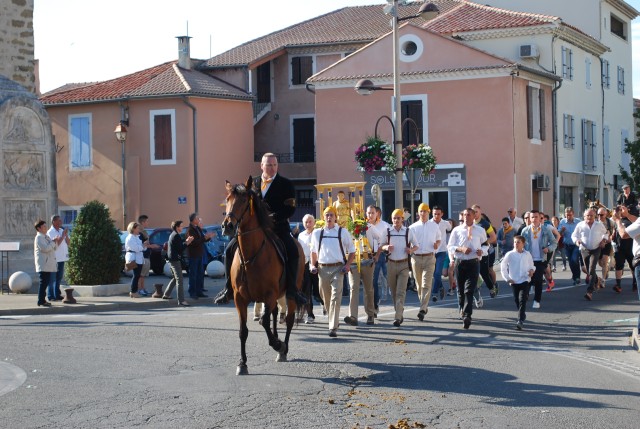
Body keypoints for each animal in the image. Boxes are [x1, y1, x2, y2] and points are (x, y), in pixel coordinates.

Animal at [221, 176, 304, 372]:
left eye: (244, 200)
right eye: (227, 199)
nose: (228, 226)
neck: (252, 255)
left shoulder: (270, 294)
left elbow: (265, 322)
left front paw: (277, 344)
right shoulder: (240, 299)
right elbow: (243, 331)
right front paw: (242, 363)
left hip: (290, 293)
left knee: (289, 320)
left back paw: (283, 349)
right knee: (274, 314)